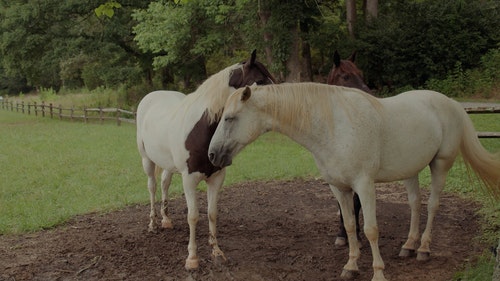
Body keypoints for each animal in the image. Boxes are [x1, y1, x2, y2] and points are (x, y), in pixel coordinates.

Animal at [137, 50, 276, 270]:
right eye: (261, 82)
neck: (202, 130)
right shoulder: (189, 179)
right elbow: (193, 216)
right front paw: (192, 258)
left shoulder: (217, 178)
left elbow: (212, 213)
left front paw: (217, 252)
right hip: (147, 160)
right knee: (152, 187)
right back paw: (152, 224)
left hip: (168, 164)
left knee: (164, 183)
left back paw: (166, 219)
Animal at [209, 83, 500, 280]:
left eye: (230, 118)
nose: (212, 155)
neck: (333, 128)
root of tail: (450, 102)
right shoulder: (339, 188)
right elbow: (349, 226)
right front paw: (350, 266)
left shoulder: (364, 185)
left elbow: (370, 229)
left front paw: (378, 272)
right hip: (411, 171)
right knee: (415, 204)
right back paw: (408, 246)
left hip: (440, 165)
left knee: (432, 206)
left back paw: (424, 249)